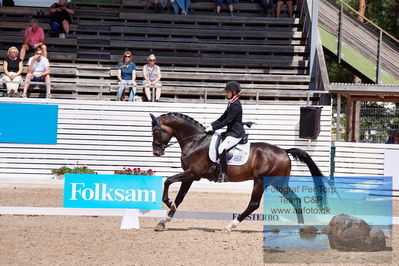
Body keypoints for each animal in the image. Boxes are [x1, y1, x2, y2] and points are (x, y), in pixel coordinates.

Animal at [150, 111, 328, 231]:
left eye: (156, 131)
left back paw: (231, 225)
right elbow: (180, 197)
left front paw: (168, 203)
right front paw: (164, 221)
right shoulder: (190, 176)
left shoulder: (193, 173)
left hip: (261, 181)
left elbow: (168, 181)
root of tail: (284, 151)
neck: (196, 141)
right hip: (279, 182)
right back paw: (301, 227)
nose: (156, 153)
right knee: (295, 200)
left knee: (254, 204)